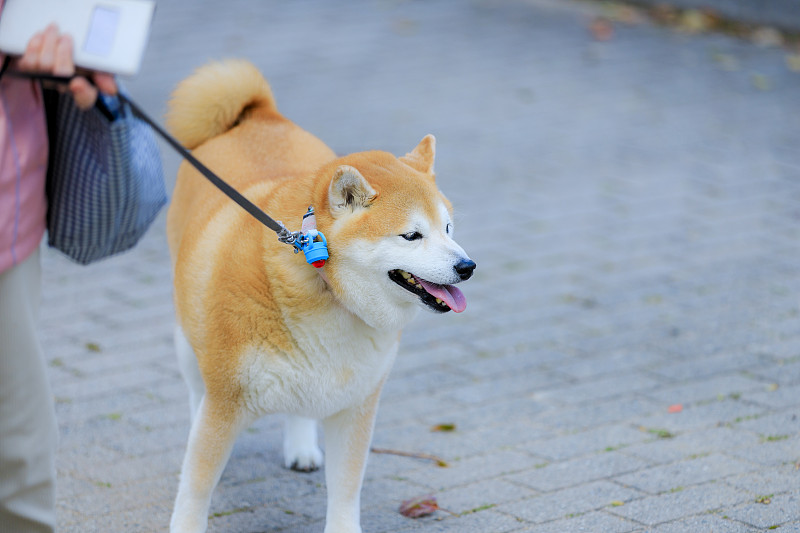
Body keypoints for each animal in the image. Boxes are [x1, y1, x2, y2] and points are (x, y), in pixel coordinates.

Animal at [165, 60, 472, 528]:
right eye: (412, 236)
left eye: (449, 229)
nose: (467, 267)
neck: (329, 292)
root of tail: (258, 115)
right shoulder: (225, 400)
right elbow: (196, 488)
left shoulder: (357, 404)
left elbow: (346, 489)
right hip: (188, 338)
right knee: (195, 391)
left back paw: (301, 447)